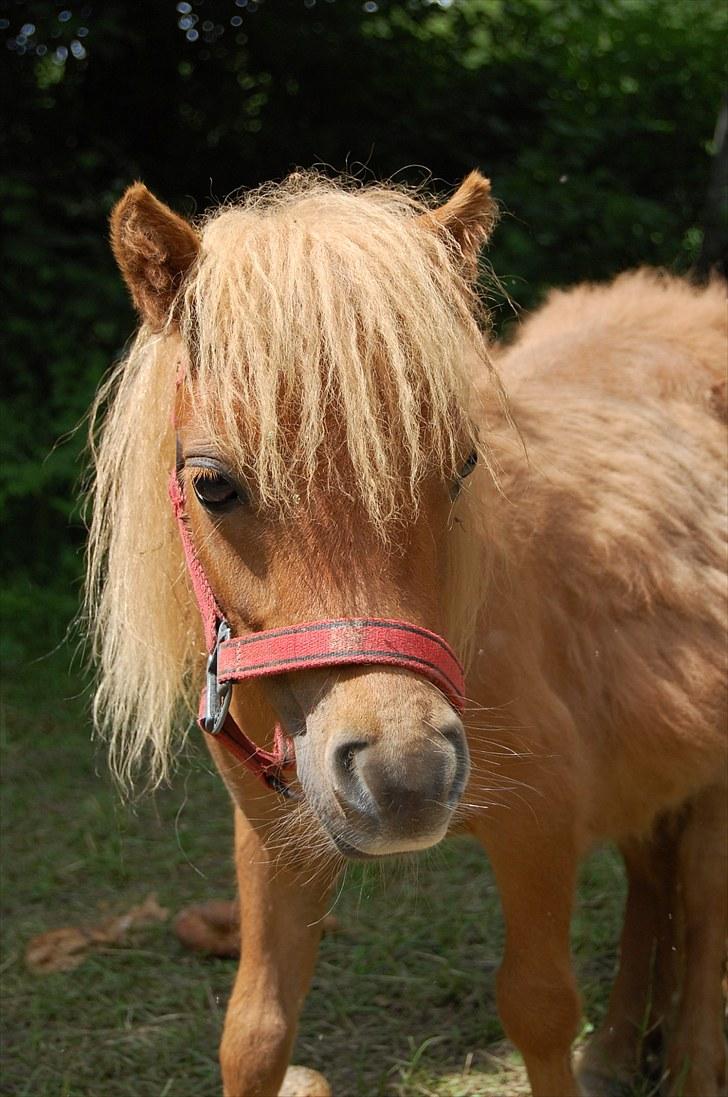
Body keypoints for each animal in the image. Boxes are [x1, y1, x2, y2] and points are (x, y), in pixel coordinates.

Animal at [86, 171, 728, 1097]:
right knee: (657, 881)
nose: (404, 776)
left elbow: (538, 1005)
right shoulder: (276, 841)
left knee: (704, 900)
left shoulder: (540, 828)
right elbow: (255, 1032)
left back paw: (691, 1065)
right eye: (211, 483)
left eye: (461, 465)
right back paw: (616, 1048)